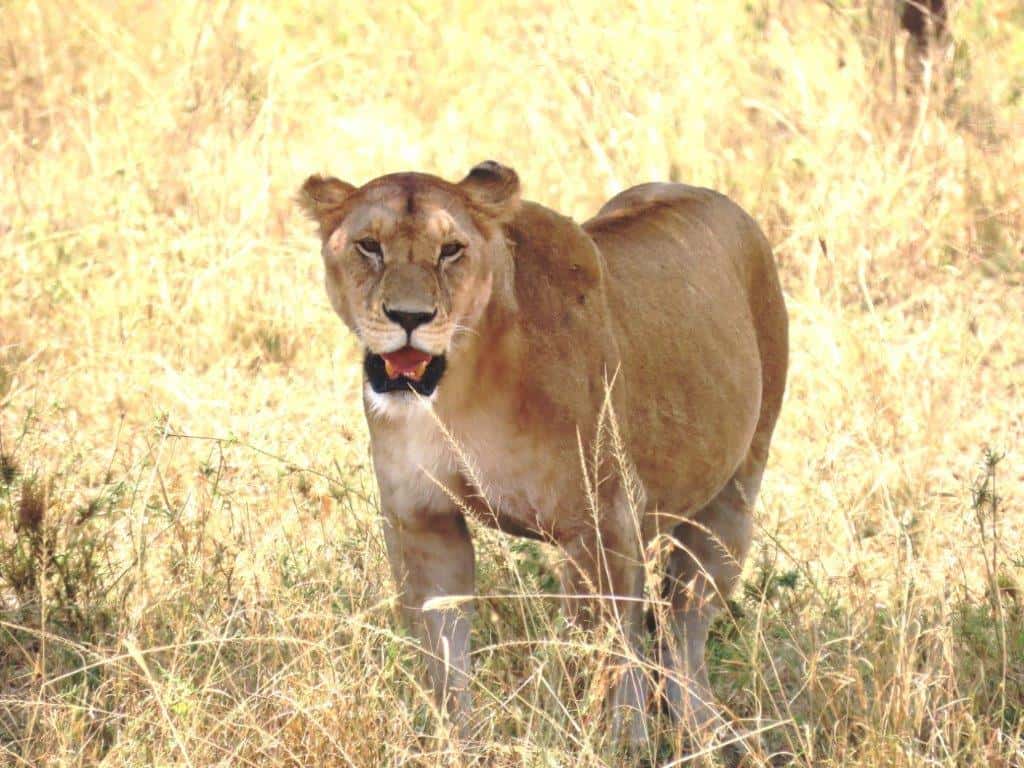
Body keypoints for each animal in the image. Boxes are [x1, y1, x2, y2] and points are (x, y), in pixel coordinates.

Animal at [299, 161, 788, 743]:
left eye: (451, 250)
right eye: (369, 245)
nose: (409, 317)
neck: (460, 389)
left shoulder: (602, 525)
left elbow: (607, 654)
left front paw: (614, 743)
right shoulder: (422, 522)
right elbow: (444, 657)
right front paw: (455, 742)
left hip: (730, 503)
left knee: (680, 629)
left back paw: (704, 733)